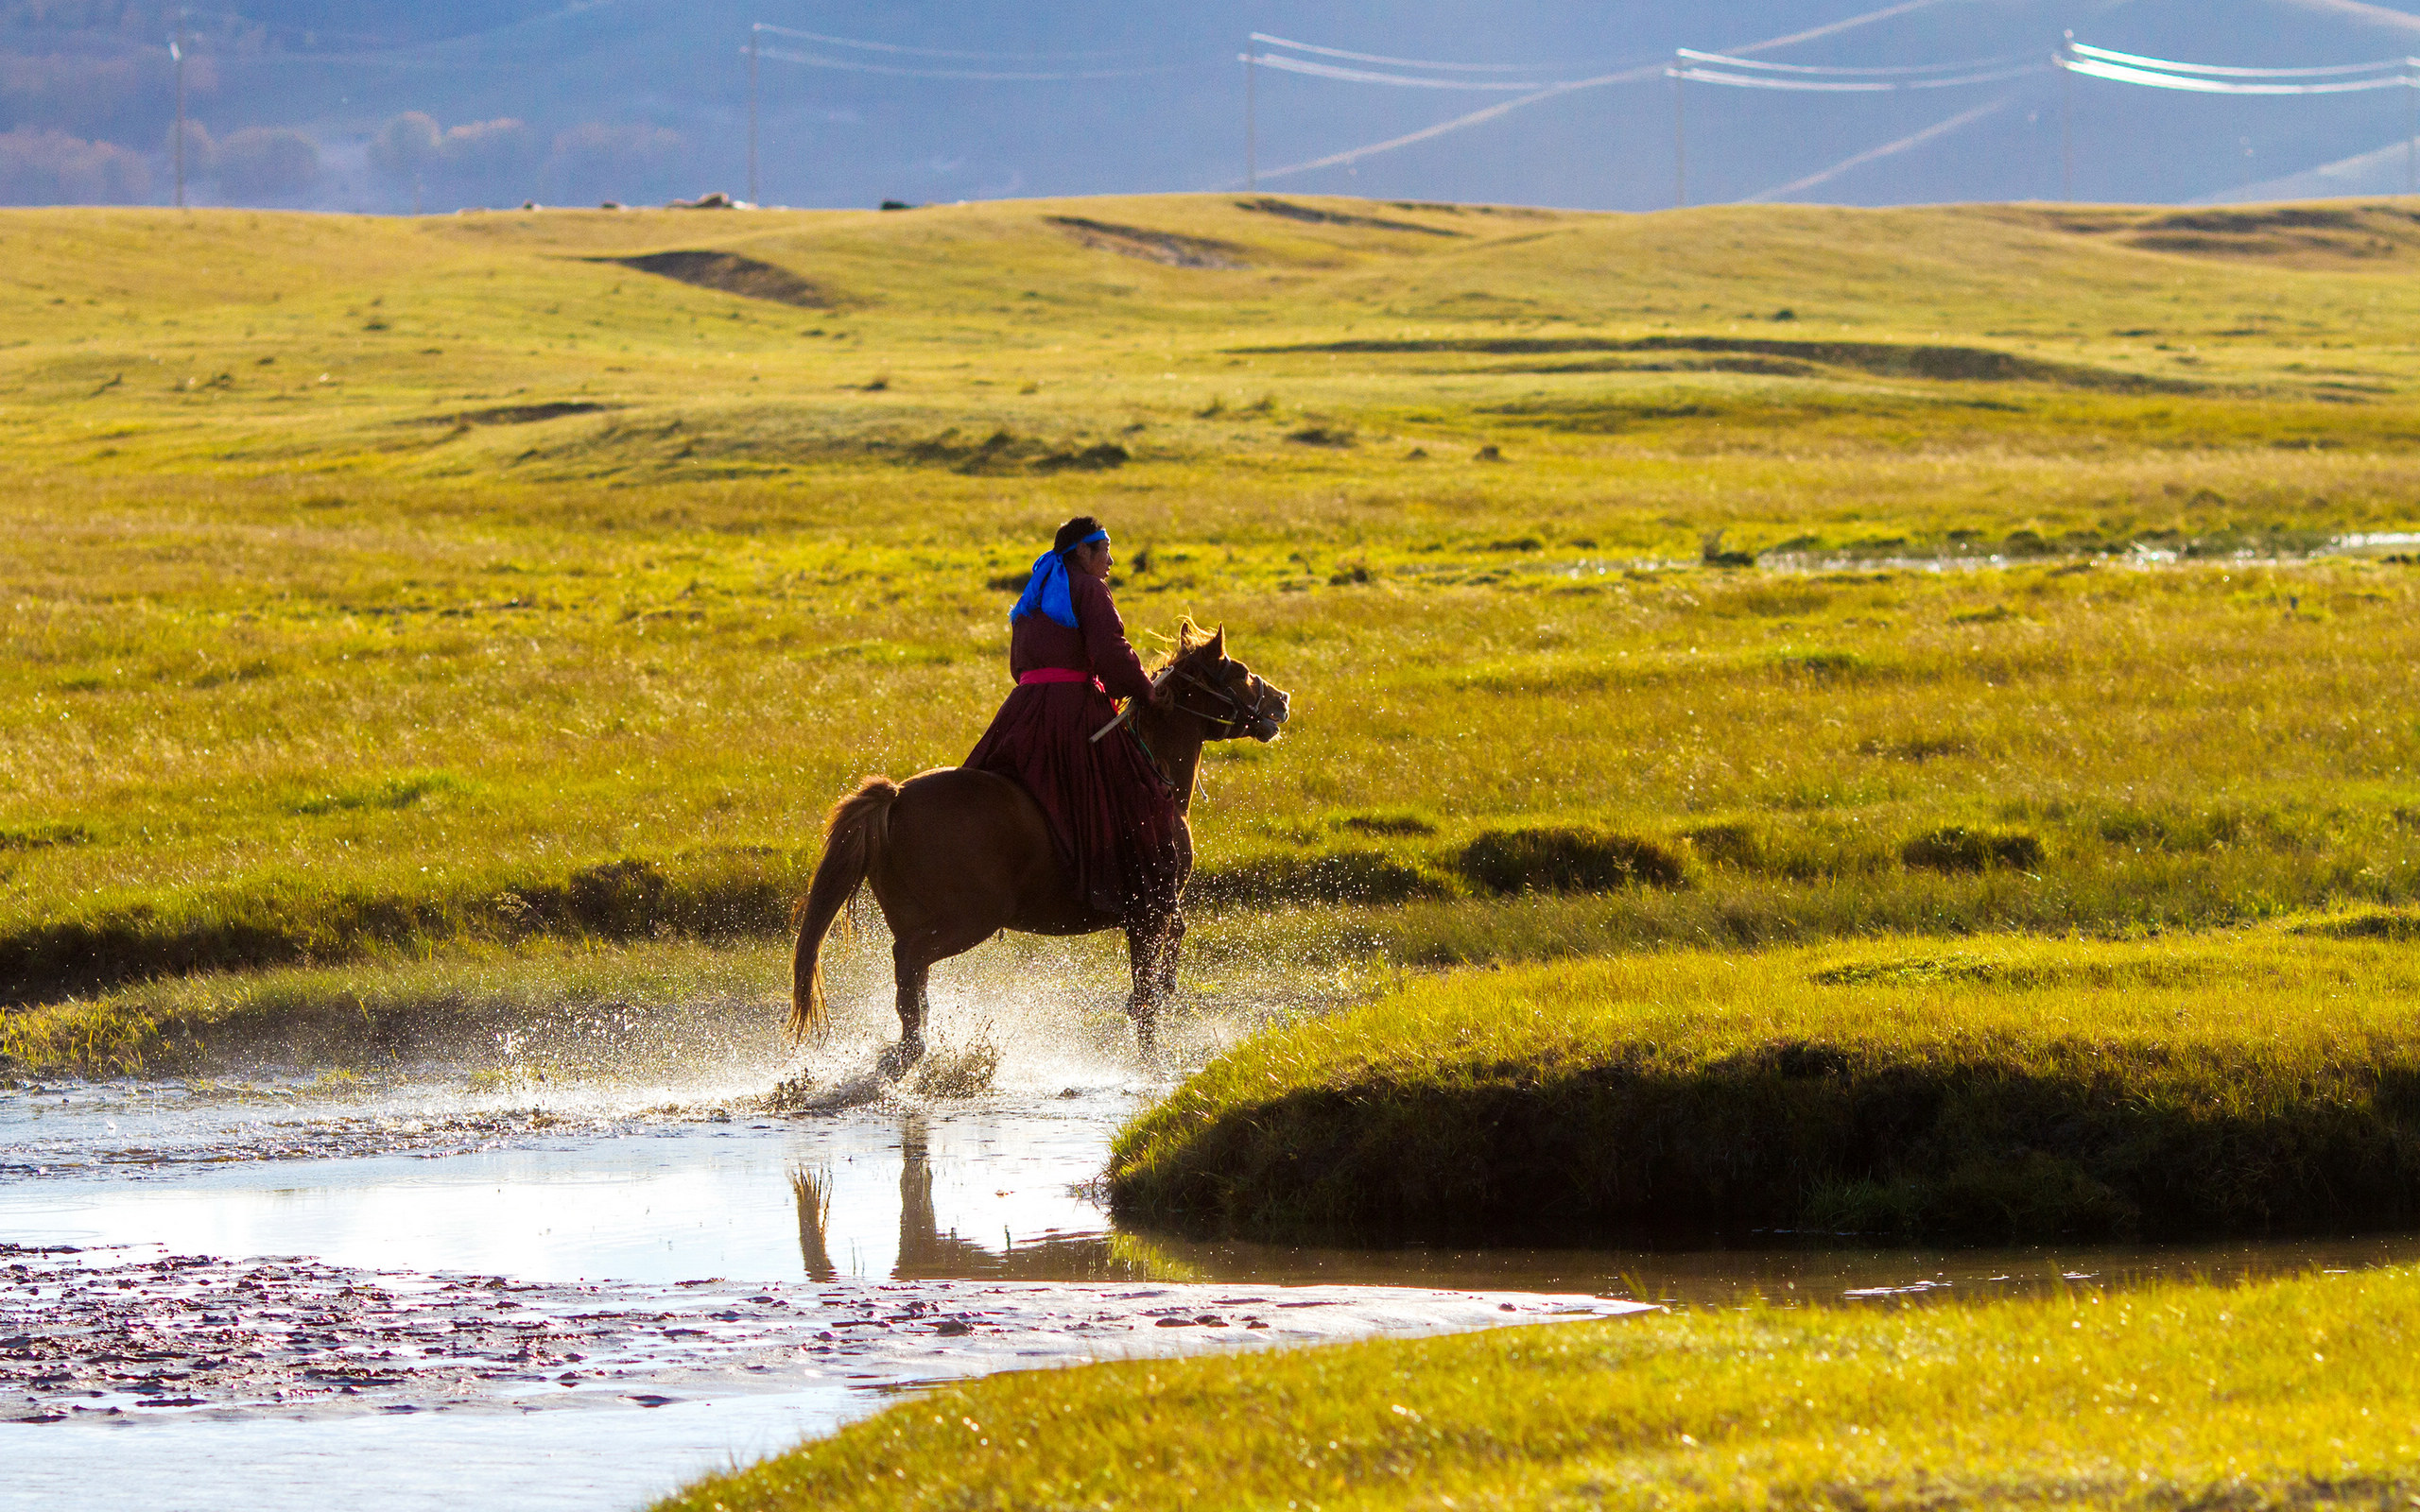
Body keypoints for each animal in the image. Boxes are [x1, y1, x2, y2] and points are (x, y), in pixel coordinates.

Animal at [788, 619, 1287, 1069]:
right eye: (1239, 671)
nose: (1282, 702)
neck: (1154, 775)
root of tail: (894, 797)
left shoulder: (1156, 911)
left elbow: (1165, 962)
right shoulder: (1149, 911)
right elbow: (1147, 994)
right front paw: (1151, 1061)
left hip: (916, 919)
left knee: (911, 985)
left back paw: (908, 1052)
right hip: (969, 920)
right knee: (910, 964)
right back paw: (909, 1054)